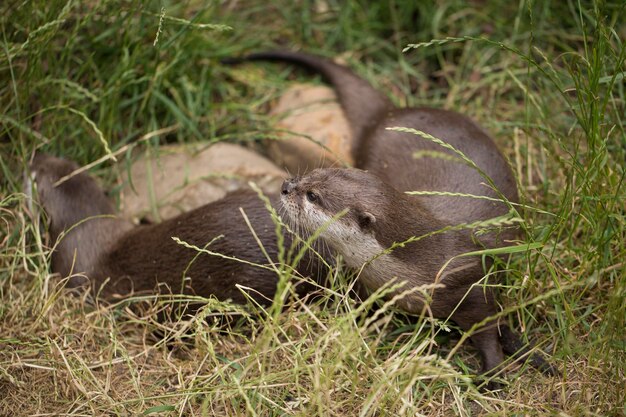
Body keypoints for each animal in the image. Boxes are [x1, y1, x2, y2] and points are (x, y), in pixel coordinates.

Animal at [280, 167, 548, 386]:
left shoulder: (472, 283)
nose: (285, 186)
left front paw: (491, 372)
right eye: (311, 172)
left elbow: (487, 328)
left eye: (312, 195)